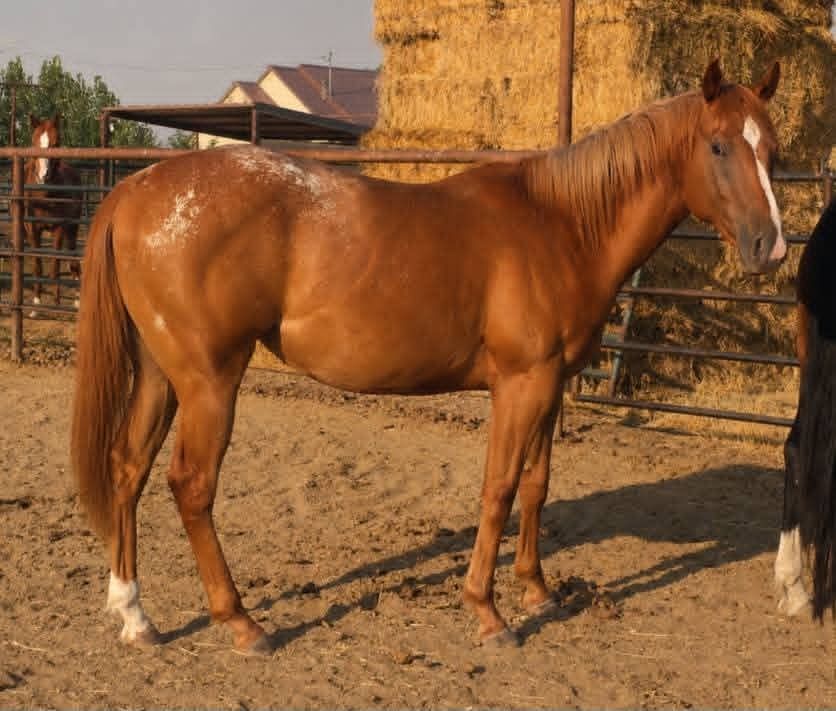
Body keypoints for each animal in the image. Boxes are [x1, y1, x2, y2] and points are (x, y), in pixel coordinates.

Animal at [24, 114, 83, 307]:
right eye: (34, 142)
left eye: (56, 143)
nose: (44, 175)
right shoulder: (32, 229)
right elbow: (38, 264)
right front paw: (36, 301)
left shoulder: (59, 228)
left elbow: (55, 265)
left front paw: (56, 301)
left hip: (72, 228)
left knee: (73, 258)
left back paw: (77, 299)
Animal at [71, 59, 784, 654]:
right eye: (718, 146)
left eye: (772, 149)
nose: (770, 247)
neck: (561, 225)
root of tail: (137, 189)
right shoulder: (521, 385)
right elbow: (498, 489)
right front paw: (487, 612)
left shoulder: (550, 384)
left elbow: (536, 484)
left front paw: (536, 589)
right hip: (210, 379)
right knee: (191, 486)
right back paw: (241, 622)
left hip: (161, 374)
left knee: (128, 468)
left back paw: (135, 614)